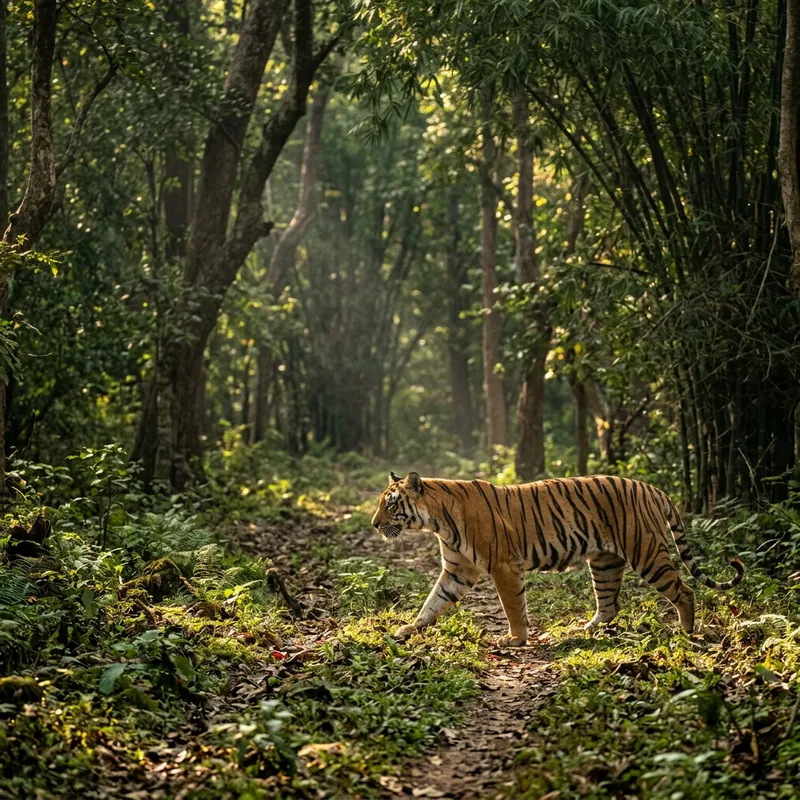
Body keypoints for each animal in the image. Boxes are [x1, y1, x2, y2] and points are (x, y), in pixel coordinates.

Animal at [370, 471, 744, 646]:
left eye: (391, 504)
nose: (374, 524)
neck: (437, 521)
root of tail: (653, 489)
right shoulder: (457, 570)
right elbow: (433, 602)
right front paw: (409, 629)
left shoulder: (503, 566)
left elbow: (512, 606)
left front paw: (515, 639)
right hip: (605, 562)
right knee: (609, 604)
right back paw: (587, 629)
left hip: (647, 552)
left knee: (684, 590)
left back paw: (686, 632)